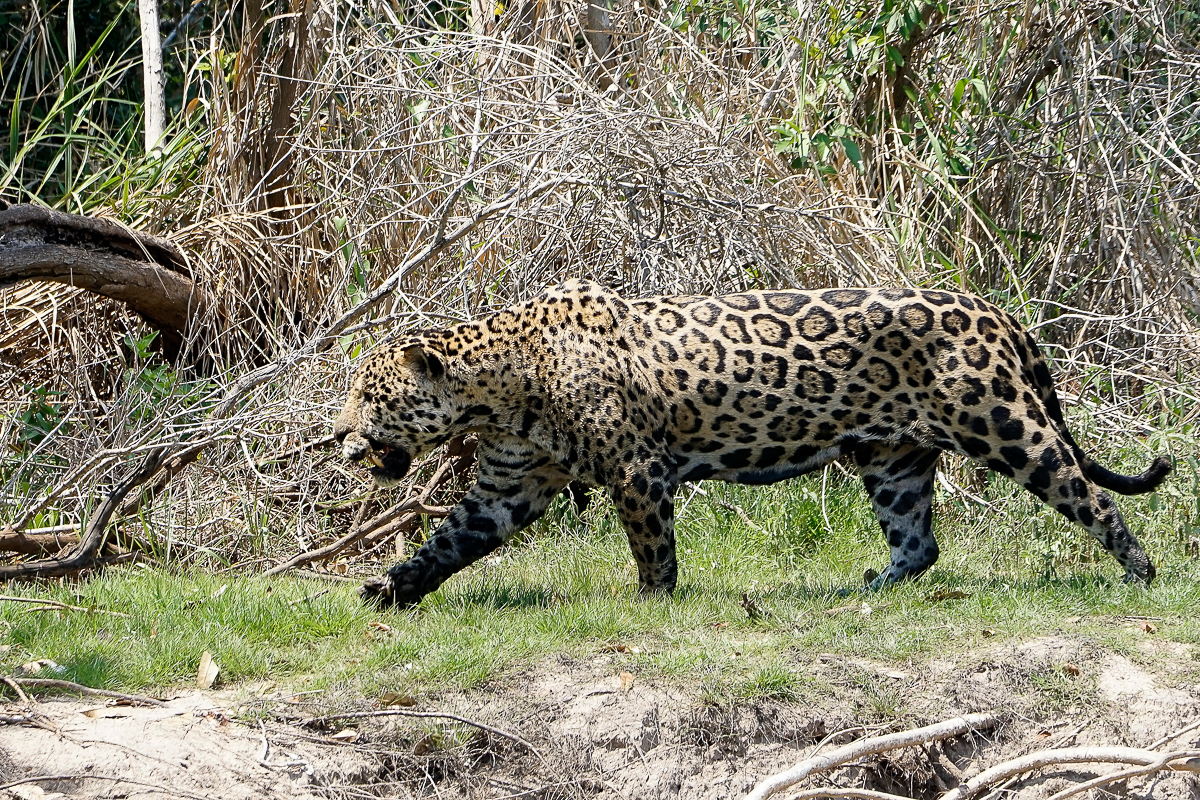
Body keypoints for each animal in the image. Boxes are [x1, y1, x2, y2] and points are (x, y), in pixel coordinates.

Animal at [333, 278, 1172, 607]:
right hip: (892, 457)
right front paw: (391, 589)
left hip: (1002, 423)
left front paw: (653, 601)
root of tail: (992, 309)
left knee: (1090, 496)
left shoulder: (638, 471)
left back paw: (1140, 572)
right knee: (918, 539)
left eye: (370, 396)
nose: (336, 437)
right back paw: (867, 589)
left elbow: (652, 545)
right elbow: (448, 541)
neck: (502, 387)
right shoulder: (508, 484)